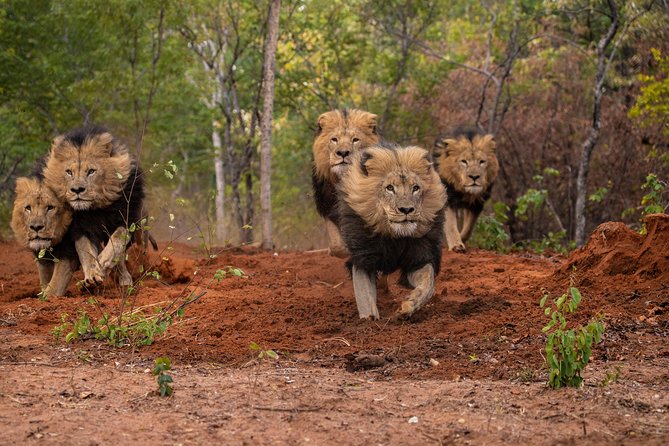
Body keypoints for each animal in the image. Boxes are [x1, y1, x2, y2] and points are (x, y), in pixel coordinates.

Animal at [43, 125, 145, 288]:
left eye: (91, 171)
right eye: (69, 172)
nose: (77, 190)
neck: (97, 208)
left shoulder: (126, 219)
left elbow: (116, 242)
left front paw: (103, 263)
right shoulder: (80, 228)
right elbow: (86, 251)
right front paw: (92, 276)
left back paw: (124, 279)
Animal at [338, 143, 446, 319]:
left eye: (415, 188)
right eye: (389, 188)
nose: (406, 209)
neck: (395, 236)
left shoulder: (418, 257)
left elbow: (428, 285)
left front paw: (409, 305)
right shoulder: (364, 257)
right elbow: (364, 295)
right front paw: (369, 319)